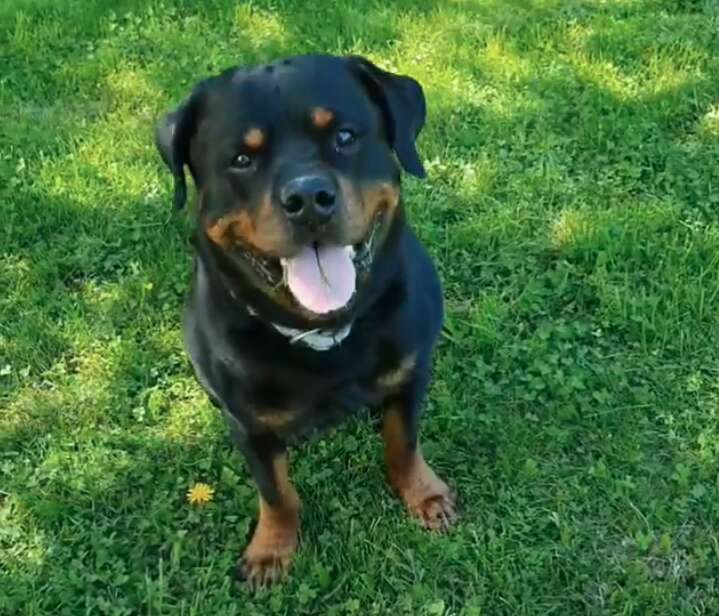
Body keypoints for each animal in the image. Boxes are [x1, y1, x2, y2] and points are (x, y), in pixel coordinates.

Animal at [155, 54, 458, 588]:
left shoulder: (411, 374)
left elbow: (403, 443)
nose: (310, 197)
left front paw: (424, 493)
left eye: (345, 137)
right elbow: (276, 492)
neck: (328, 335)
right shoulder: (248, 425)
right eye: (242, 159)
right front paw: (271, 549)